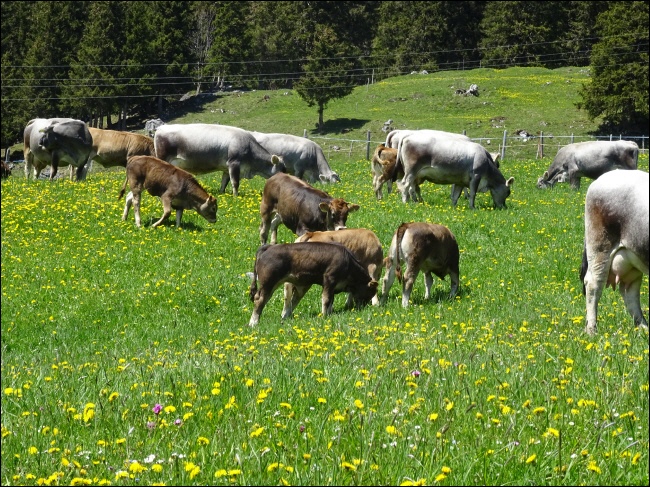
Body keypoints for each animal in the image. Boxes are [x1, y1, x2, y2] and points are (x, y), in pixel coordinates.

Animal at [153, 123, 284, 197]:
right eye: (282, 169)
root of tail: (161, 127)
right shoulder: (234, 163)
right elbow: (235, 182)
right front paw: (236, 197)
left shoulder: (226, 168)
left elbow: (224, 182)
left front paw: (222, 194)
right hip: (162, 157)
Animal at [246, 241, 378, 326]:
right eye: (369, 293)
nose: (363, 307)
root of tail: (268, 247)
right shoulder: (329, 279)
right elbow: (326, 299)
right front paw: (324, 316)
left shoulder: (332, 286)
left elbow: (331, 300)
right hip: (268, 283)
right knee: (260, 299)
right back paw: (253, 322)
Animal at [580, 169, 644, 336]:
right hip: (600, 247)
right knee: (593, 284)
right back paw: (591, 330)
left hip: (633, 259)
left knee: (629, 292)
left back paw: (644, 328)